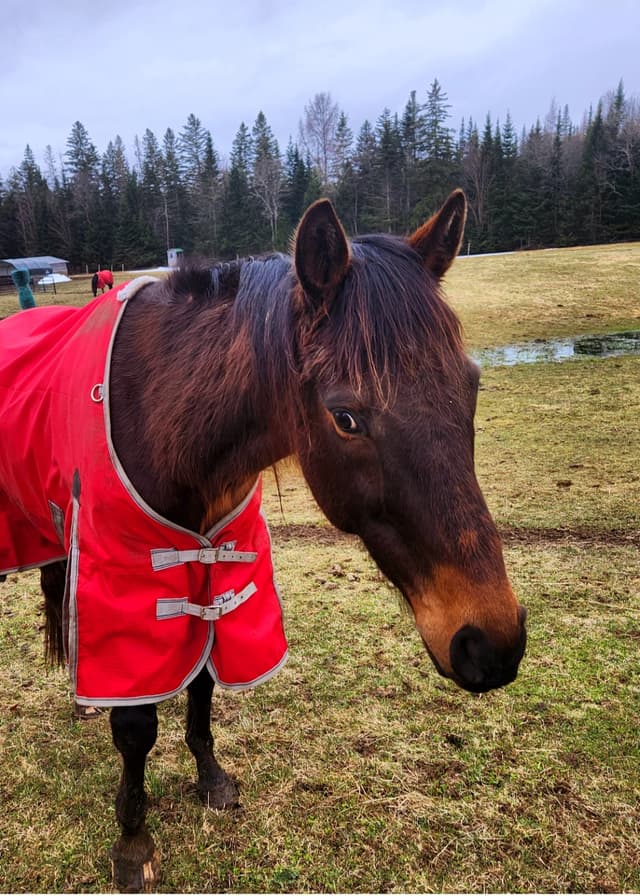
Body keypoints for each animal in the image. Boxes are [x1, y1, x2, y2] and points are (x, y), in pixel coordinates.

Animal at [0, 190, 526, 891]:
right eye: (345, 417)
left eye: (472, 386)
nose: (492, 643)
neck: (164, 416)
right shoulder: (128, 587)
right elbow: (136, 725)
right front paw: (134, 843)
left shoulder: (216, 571)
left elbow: (202, 679)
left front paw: (210, 778)